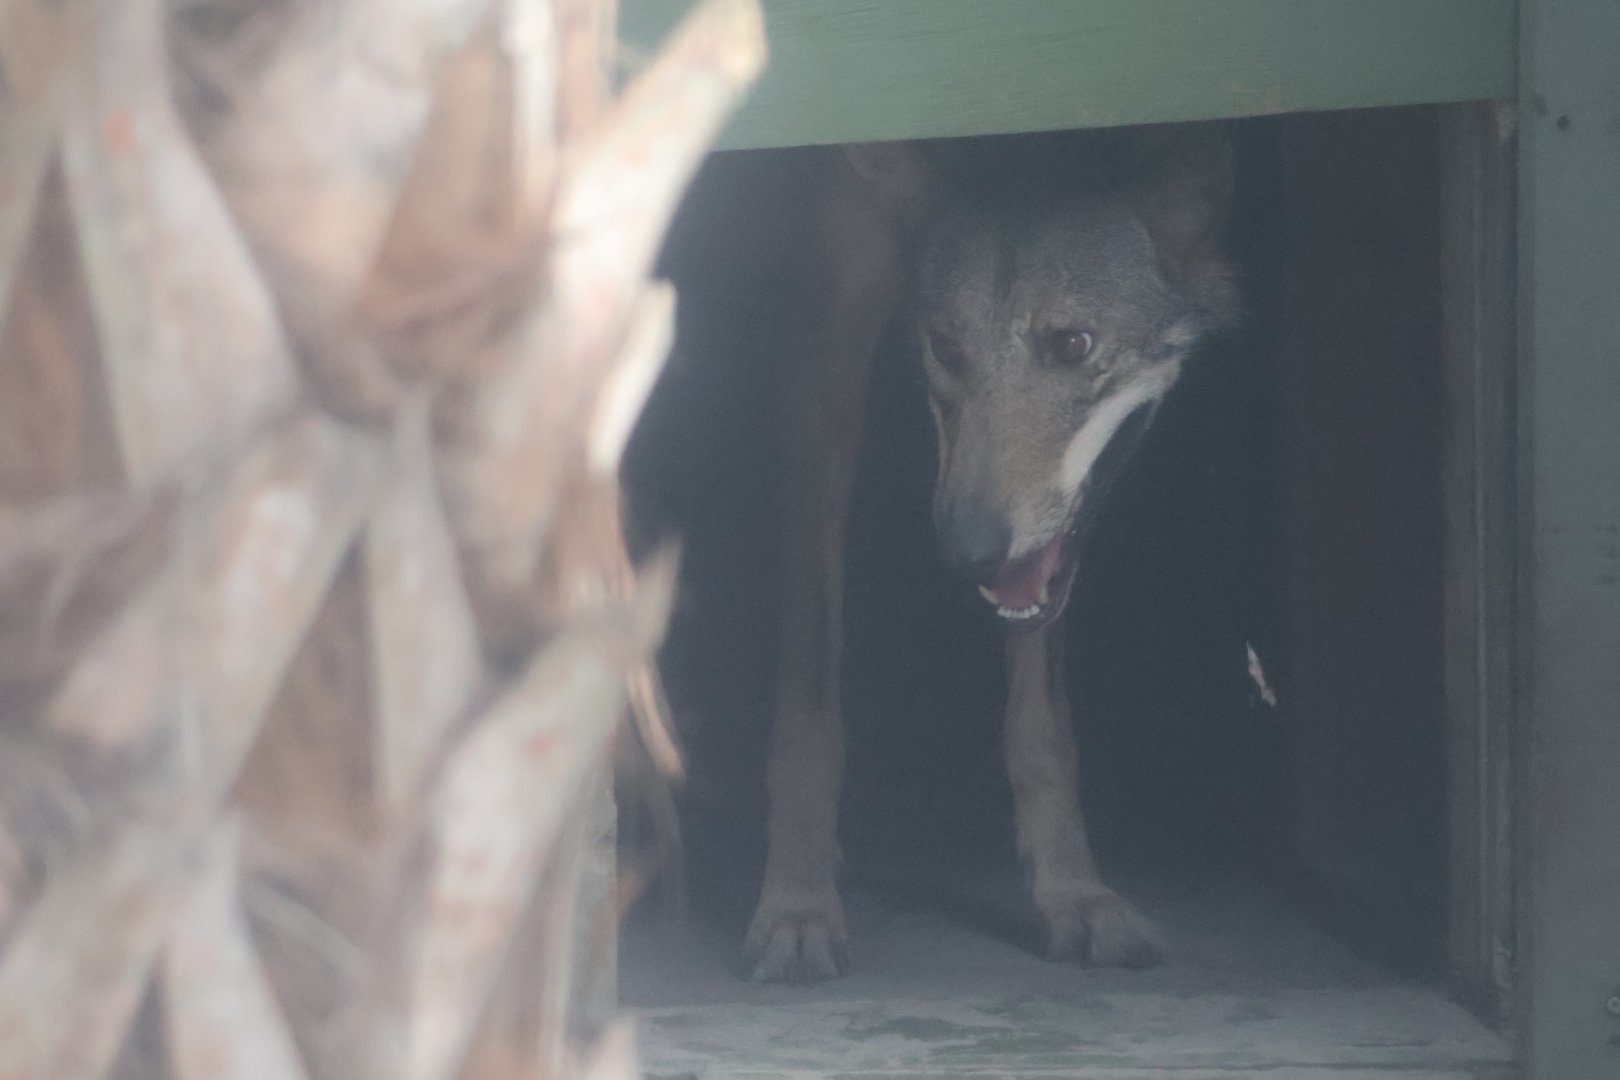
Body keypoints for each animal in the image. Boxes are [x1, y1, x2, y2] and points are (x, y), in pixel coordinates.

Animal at [741, 126, 1241, 983]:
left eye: (1073, 344)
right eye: (945, 346)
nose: (966, 552)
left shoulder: (1041, 552)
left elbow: (1043, 716)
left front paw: (1075, 893)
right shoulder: (823, 352)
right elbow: (809, 690)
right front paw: (797, 903)